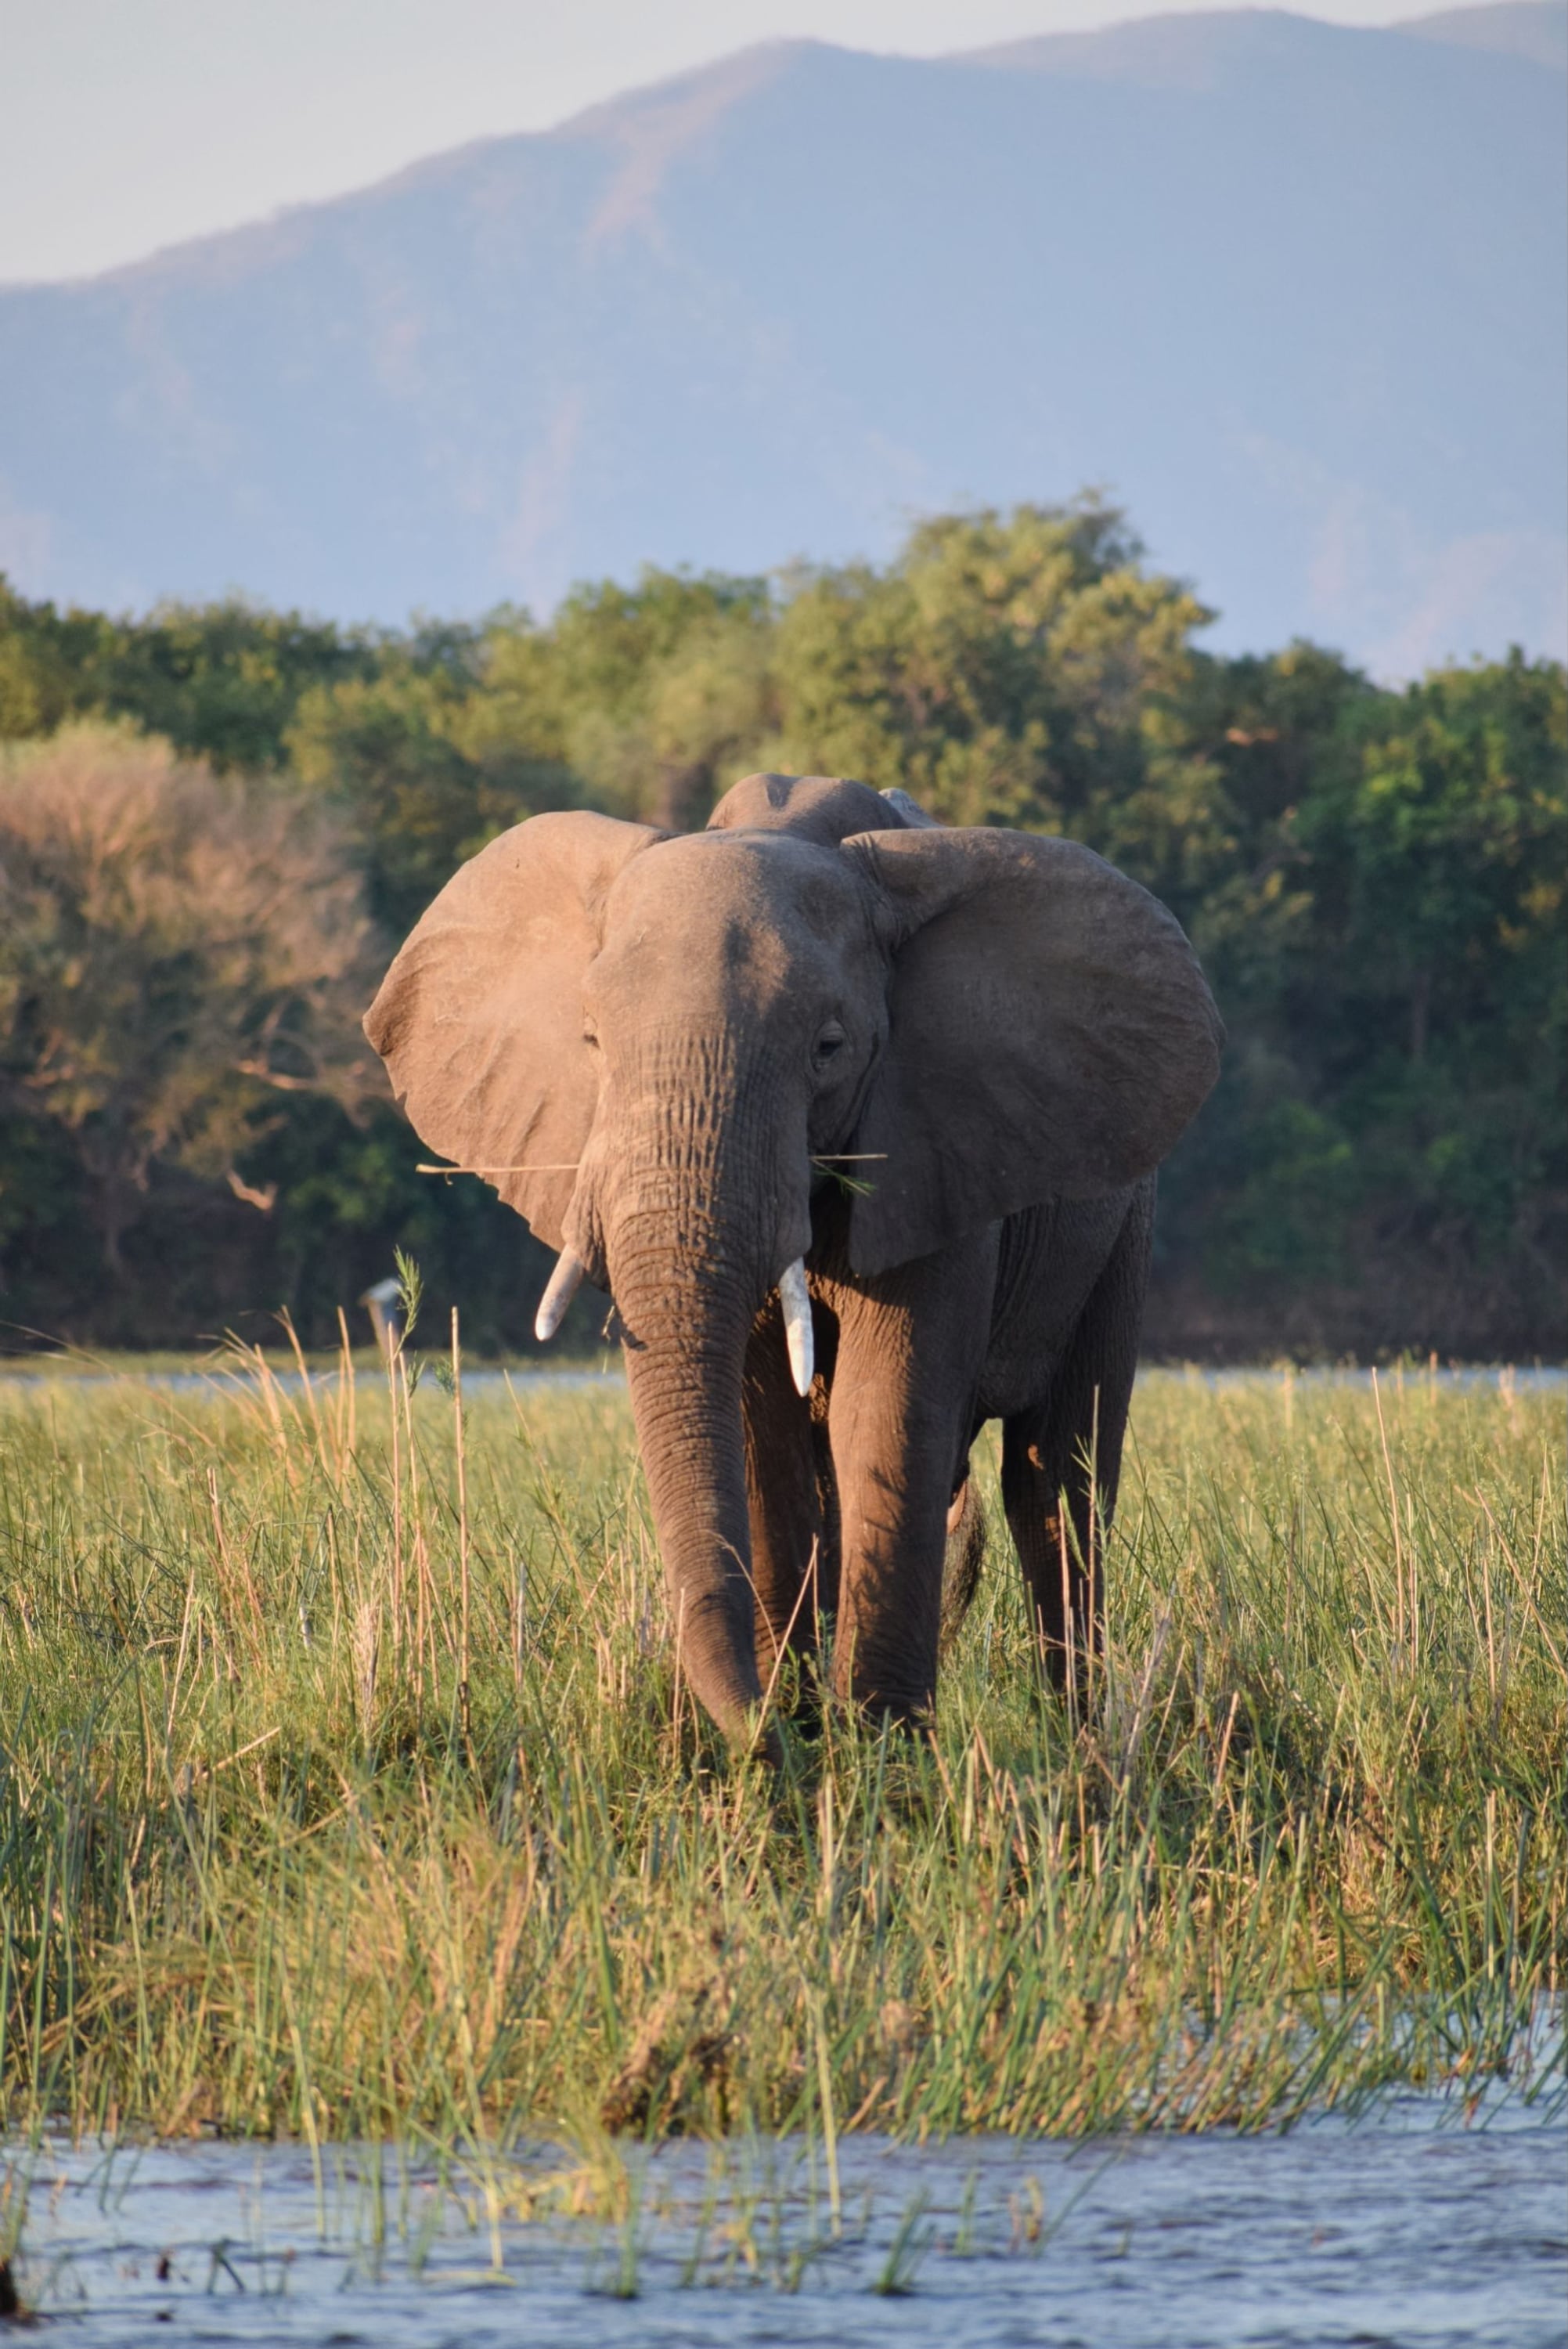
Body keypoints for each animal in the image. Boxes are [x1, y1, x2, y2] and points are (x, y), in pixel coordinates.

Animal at [364, 772, 1222, 1755]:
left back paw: (1074, 1743)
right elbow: (761, 1429)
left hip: (1122, 1220)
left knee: (1058, 1479)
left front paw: (883, 1749)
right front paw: (803, 1731)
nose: (757, 1734)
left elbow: (882, 1410)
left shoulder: (932, 1139)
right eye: (590, 1043)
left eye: (828, 1048)